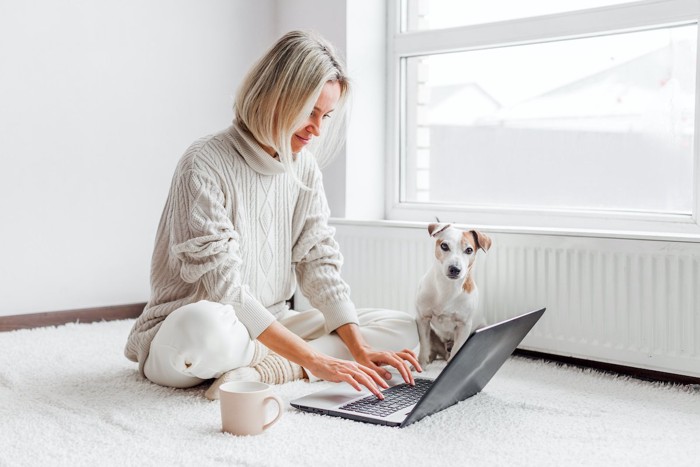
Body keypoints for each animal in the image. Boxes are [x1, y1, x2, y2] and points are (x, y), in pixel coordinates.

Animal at [416, 225, 492, 368]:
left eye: (469, 250)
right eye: (444, 246)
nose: (455, 269)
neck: (447, 287)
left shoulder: (464, 326)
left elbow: (457, 350)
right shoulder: (423, 319)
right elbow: (424, 346)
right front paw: (420, 366)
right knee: (431, 350)